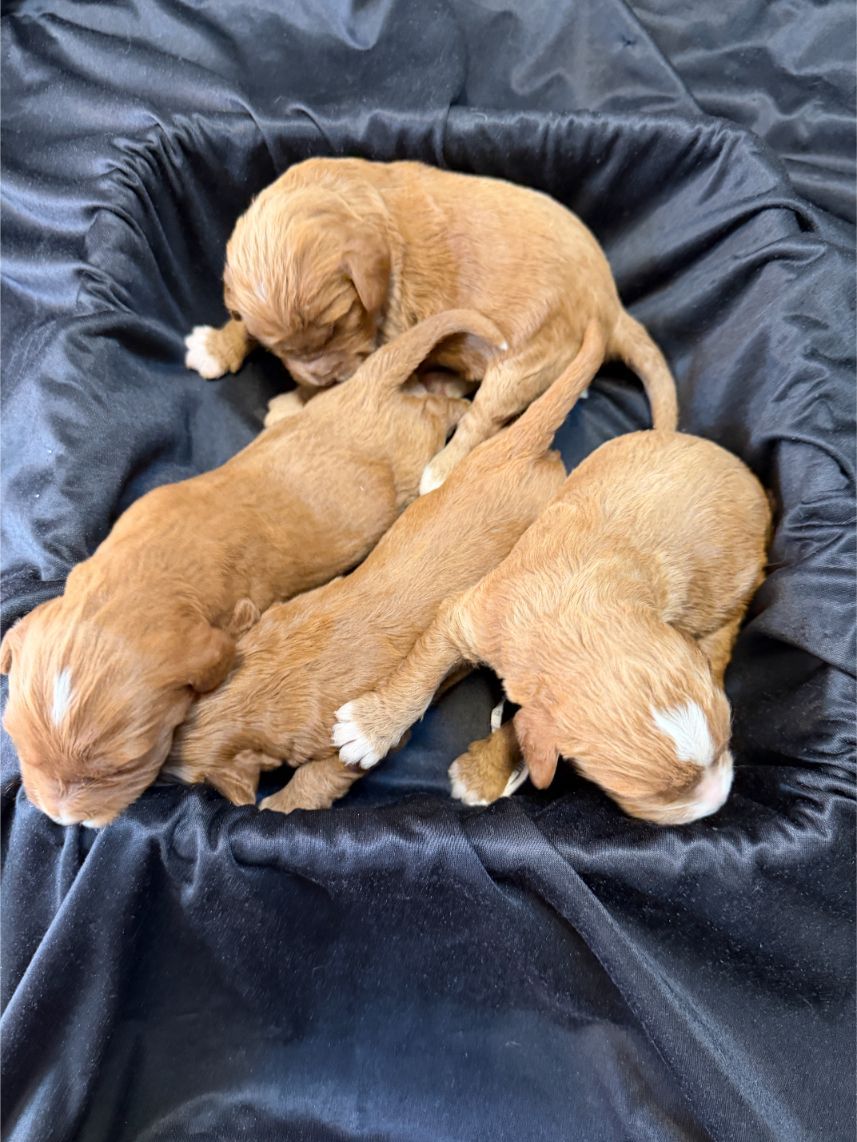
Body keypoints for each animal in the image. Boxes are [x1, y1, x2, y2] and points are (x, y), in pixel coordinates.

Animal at [1, 310, 502, 828]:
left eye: (126, 764)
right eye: (13, 735)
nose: (59, 819)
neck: (145, 572)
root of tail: (367, 383)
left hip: (414, 449)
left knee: (440, 411)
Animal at [184, 157, 678, 490]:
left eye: (339, 324)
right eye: (282, 348)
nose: (323, 374)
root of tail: (610, 303)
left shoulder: (383, 333)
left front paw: (296, 401)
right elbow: (244, 322)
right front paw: (217, 345)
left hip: (528, 357)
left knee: (483, 416)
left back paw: (438, 472)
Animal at [334, 431, 771, 825]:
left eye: (726, 743)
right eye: (656, 794)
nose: (721, 799)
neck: (578, 616)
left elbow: (523, 730)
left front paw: (480, 773)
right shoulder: (466, 616)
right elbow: (420, 674)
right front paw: (371, 728)